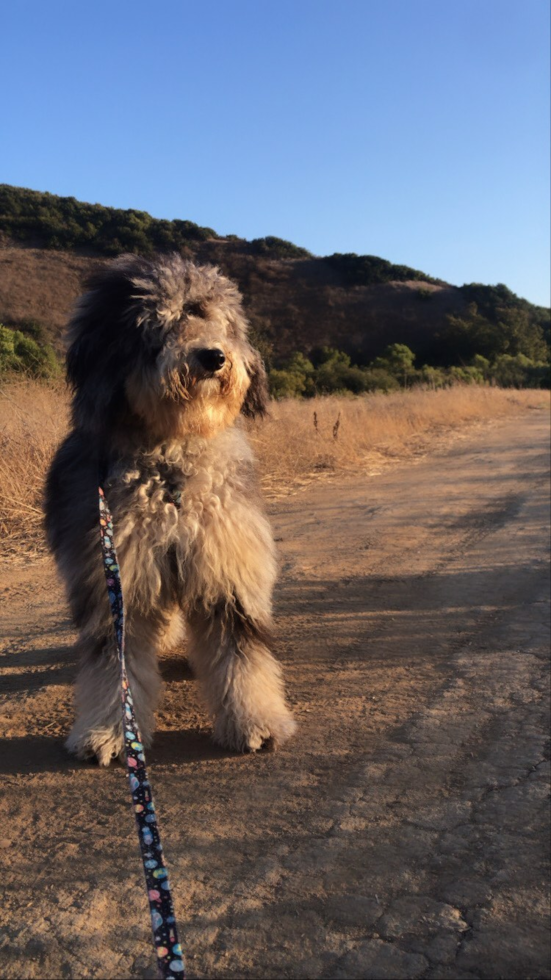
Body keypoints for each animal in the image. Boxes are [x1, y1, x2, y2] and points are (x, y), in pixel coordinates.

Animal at [45, 251, 298, 764]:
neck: (170, 465)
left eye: (209, 315)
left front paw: (256, 722)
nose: (213, 357)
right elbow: (114, 667)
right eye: (157, 324)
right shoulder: (116, 579)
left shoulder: (226, 568)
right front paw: (109, 732)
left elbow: (242, 655)